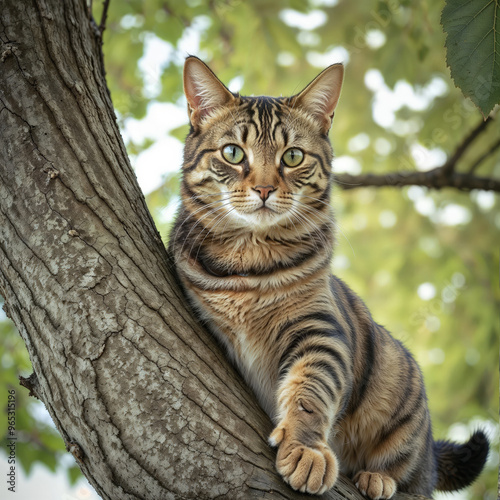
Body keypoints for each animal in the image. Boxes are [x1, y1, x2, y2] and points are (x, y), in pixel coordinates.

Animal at [170, 56, 490, 498]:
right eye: (233, 153)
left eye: (292, 157)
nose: (265, 189)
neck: (251, 262)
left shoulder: (319, 329)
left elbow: (312, 390)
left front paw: (306, 449)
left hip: (402, 399)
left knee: (412, 476)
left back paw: (379, 478)